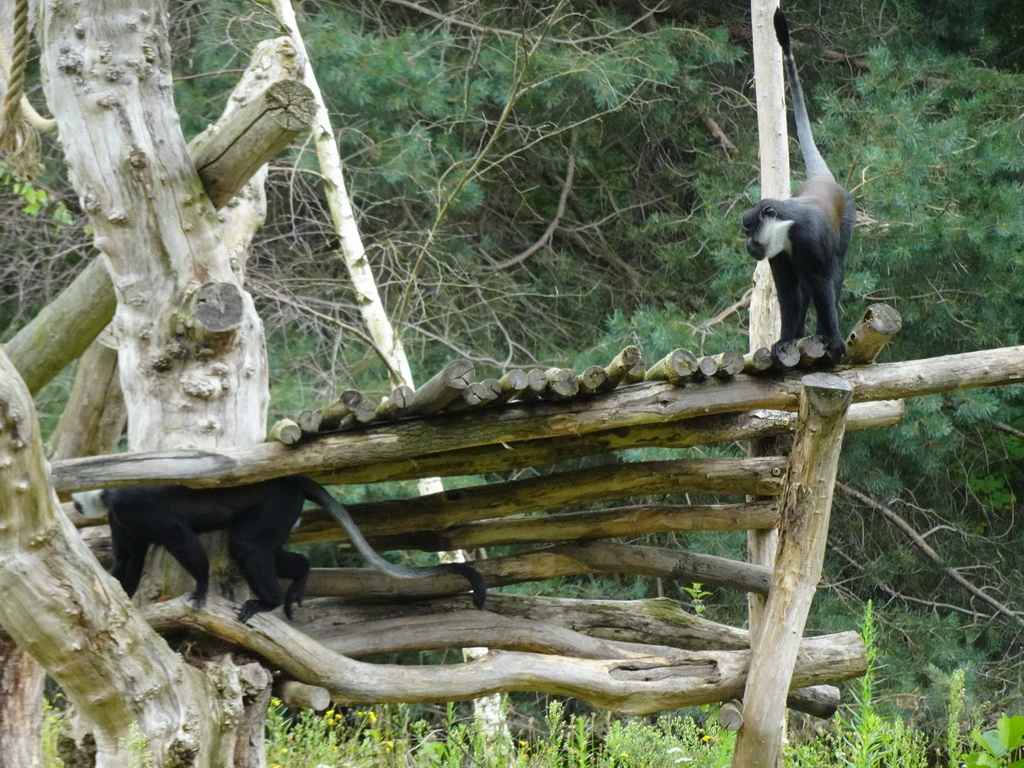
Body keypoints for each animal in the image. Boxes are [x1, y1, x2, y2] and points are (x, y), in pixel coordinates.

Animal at [74, 475, 485, 626]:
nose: (76, 507)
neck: (108, 493)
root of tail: (291, 478)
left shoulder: (132, 506)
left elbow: (178, 535)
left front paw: (202, 586)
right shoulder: (120, 516)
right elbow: (127, 559)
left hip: (278, 503)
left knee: (246, 545)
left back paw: (268, 601)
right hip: (285, 513)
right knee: (265, 550)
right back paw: (301, 571)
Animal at [745, 10, 856, 366]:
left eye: (749, 230)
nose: (749, 244)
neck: (786, 227)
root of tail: (823, 180)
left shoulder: (807, 239)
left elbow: (822, 284)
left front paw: (831, 339)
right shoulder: (779, 254)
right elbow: (788, 294)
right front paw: (785, 340)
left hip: (847, 223)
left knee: (832, 271)